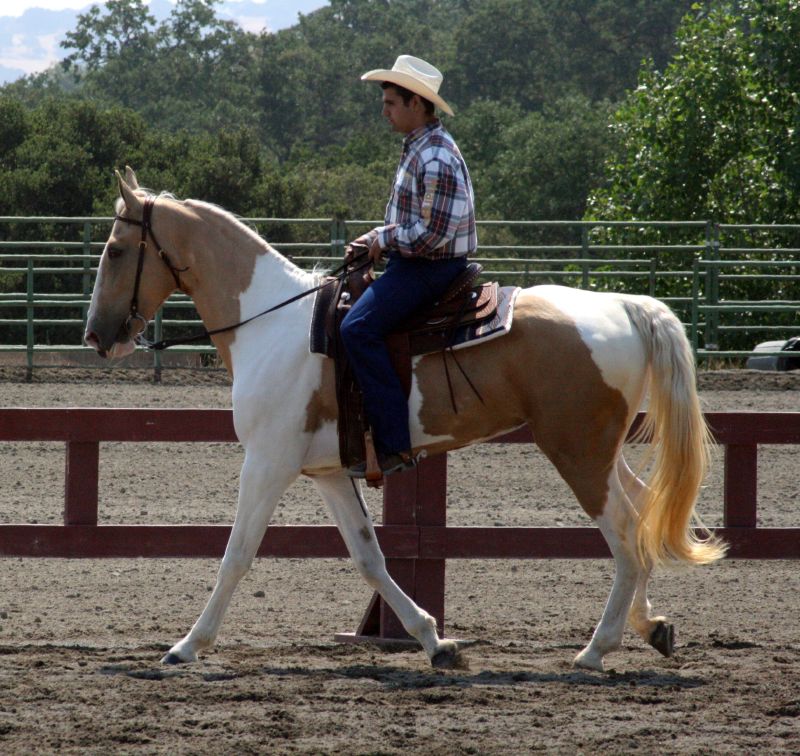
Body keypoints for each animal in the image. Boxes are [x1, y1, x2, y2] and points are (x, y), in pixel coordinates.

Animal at [86, 168, 724, 672]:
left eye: (116, 249)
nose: (96, 335)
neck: (268, 321)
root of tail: (626, 306)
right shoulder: (328, 473)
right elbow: (369, 558)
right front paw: (434, 641)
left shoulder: (267, 463)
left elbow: (236, 555)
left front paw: (186, 646)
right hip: (600, 450)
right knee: (643, 512)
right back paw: (651, 627)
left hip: (577, 453)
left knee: (626, 534)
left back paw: (596, 649)